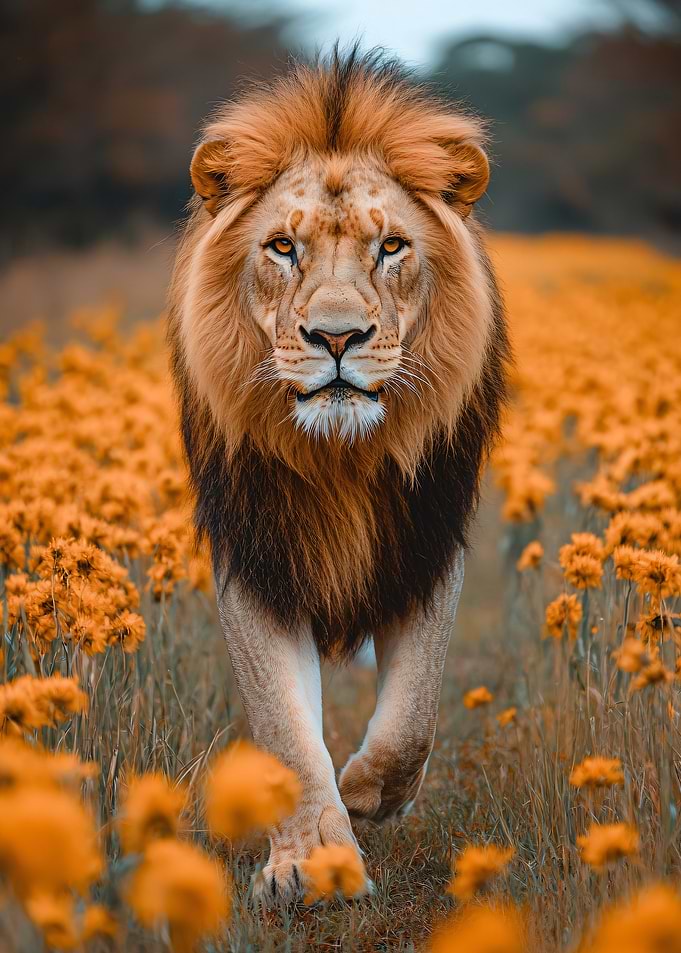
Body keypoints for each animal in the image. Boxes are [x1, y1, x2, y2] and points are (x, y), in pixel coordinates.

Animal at [168, 47, 510, 902]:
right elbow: (285, 729)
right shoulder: (255, 555)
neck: (340, 457)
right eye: (281, 248)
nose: (335, 337)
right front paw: (311, 862)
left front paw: (363, 796)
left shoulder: (427, 543)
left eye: (389, 247)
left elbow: (412, 716)